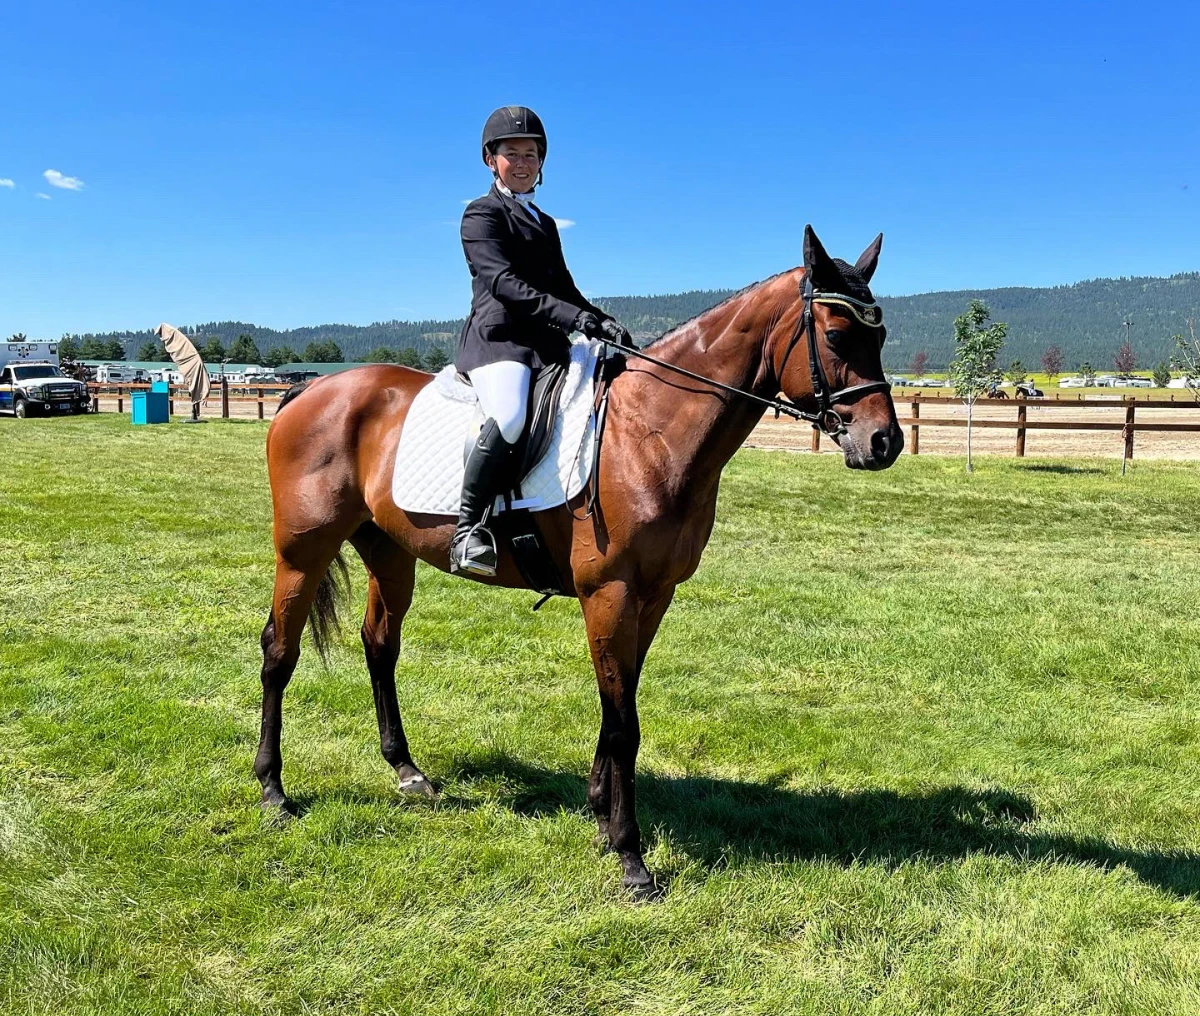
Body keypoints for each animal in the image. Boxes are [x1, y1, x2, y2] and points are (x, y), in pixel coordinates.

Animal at [255, 225, 904, 898]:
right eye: (837, 335)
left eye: (880, 336)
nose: (884, 442)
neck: (649, 431)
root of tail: (312, 389)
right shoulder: (609, 592)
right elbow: (623, 722)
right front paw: (630, 857)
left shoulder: (653, 595)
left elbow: (621, 700)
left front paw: (599, 816)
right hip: (302, 551)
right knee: (280, 650)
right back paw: (274, 790)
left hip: (388, 552)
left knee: (379, 645)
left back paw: (406, 771)